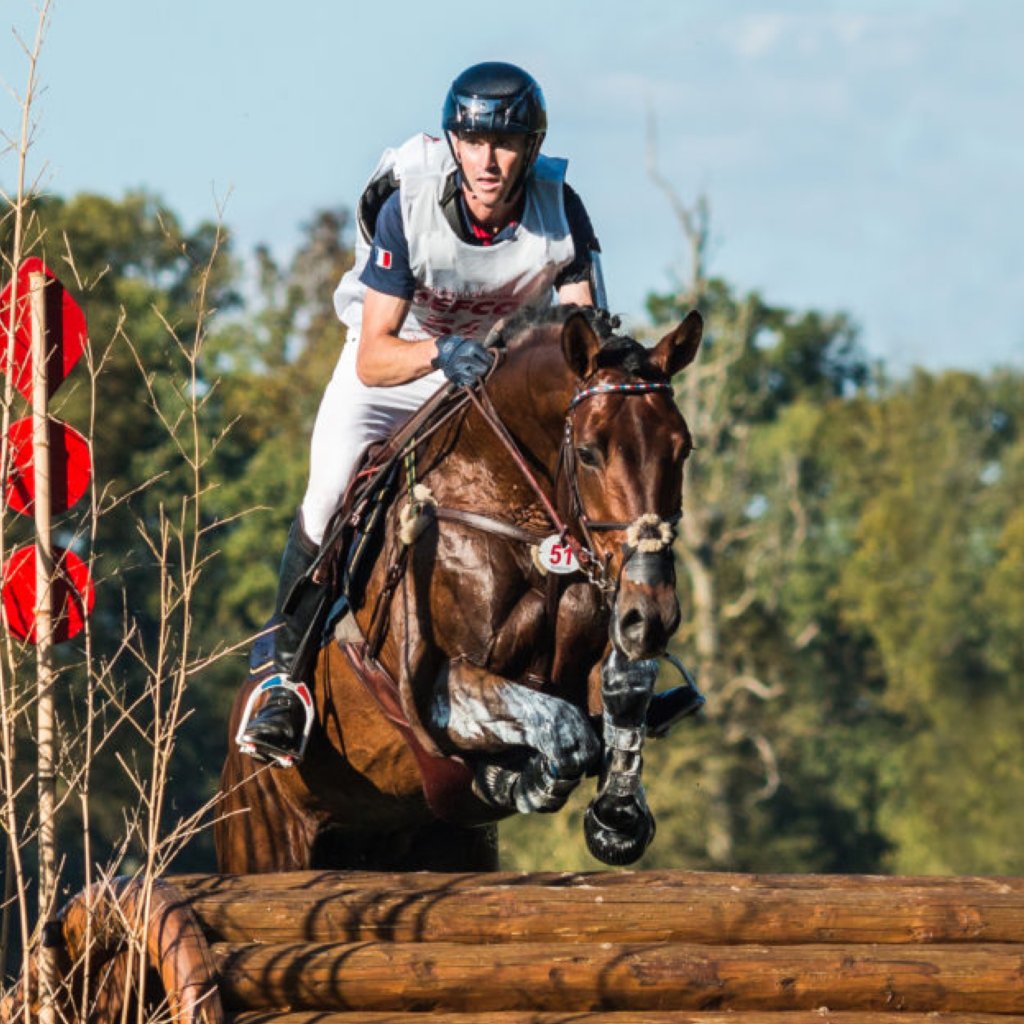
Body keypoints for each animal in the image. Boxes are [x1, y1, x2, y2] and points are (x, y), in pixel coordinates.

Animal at [216, 305, 704, 872]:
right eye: (587, 453)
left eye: (683, 449)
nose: (653, 614)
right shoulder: (437, 688)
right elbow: (565, 730)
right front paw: (520, 780)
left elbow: (625, 685)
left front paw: (617, 814)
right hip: (267, 836)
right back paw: (276, 715)